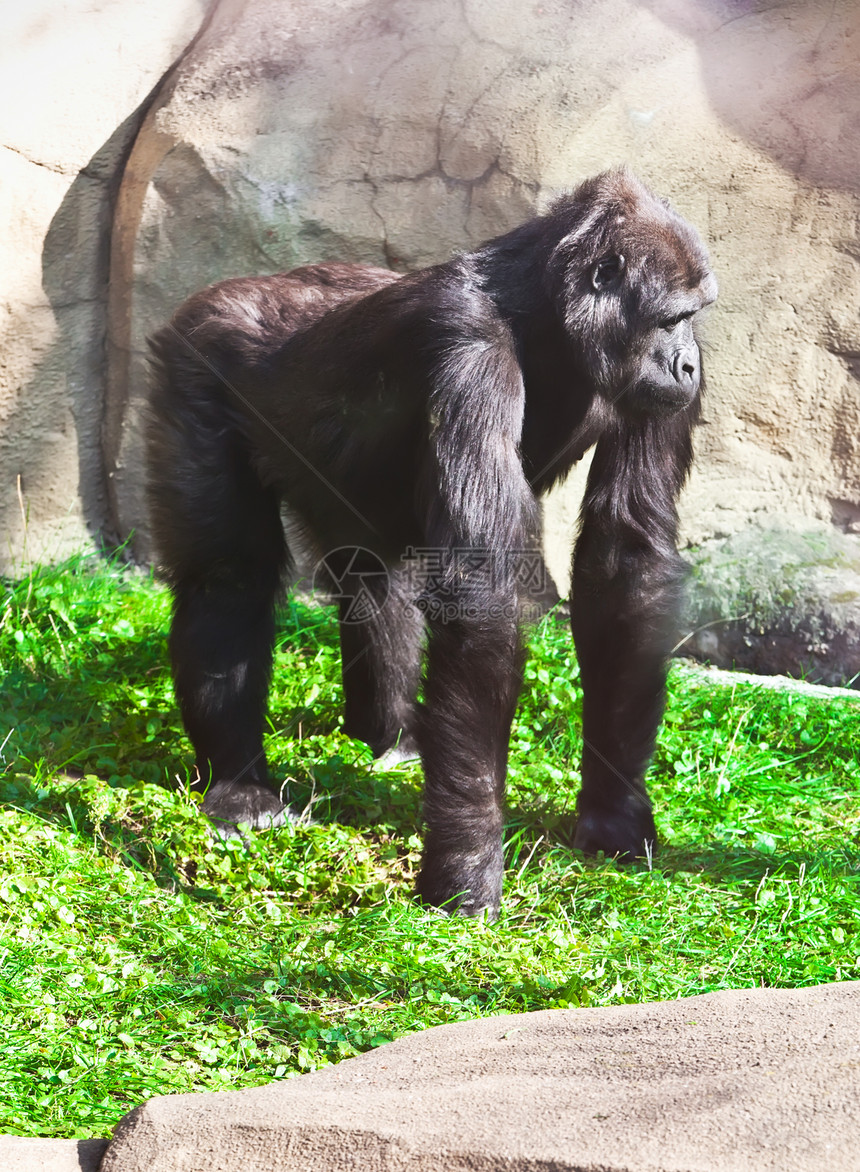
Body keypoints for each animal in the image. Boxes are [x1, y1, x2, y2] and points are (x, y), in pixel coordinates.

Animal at [149, 167, 721, 914]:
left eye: (693, 319)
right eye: (672, 317)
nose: (688, 365)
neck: (543, 311)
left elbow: (627, 561)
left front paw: (614, 810)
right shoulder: (470, 345)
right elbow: (482, 596)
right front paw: (468, 863)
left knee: (372, 577)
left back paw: (389, 736)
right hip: (195, 361)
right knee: (228, 577)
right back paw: (239, 784)